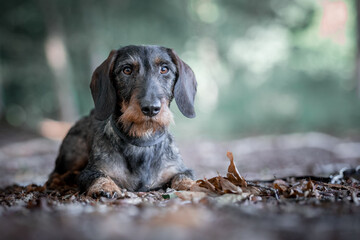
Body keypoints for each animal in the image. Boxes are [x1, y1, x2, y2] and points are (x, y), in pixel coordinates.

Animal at [45, 44, 197, 197]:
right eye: (127, 70)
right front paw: (105, 187)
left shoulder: (179, 169)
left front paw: (192, 186)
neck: (142, 140)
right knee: (54, 175)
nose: (151, 108)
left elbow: (183, 175)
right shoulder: (90, 171)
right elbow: (98, 175)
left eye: (164, 69)